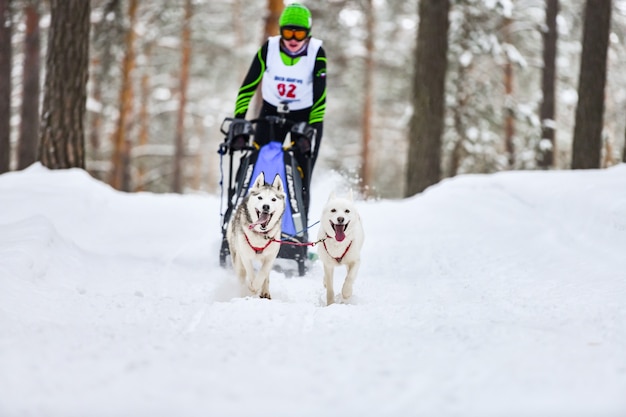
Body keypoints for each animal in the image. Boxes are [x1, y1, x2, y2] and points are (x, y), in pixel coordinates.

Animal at [225, 172, 284, 300]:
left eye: (273, 199)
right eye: (260, 197)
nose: (266, 206)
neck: (261, 235)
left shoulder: (270, 256)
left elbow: (263, 273)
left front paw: (257, 286)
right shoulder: (245, 255)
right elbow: (251, 273)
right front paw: (252, 287)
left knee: (266, 275)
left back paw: (265, 292)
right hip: (237, 258)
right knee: (241, 276)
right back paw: (243, 293)